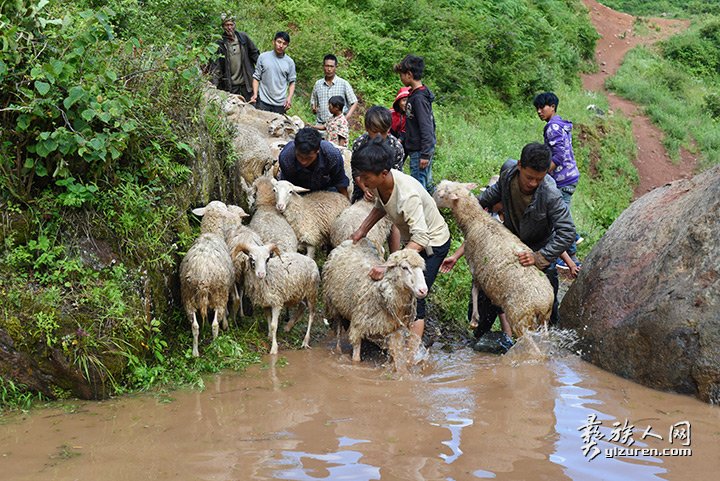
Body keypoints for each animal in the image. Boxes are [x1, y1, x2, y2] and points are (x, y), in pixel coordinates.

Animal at [179, 200, 235, 356]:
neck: (211, 233)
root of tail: (203, 278)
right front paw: (226, 324)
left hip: (188, 297)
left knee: (195, 326)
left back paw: (195, 352)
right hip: (219, 295)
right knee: (215, 324)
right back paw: (216, 348)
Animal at [434, 181, 552, 338]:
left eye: (442, 195)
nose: (431, 194)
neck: (476, 220)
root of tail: (543, 304)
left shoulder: (476, 267)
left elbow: (474, 291)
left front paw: (474, 320)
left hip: (521, 318)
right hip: (543, 320)